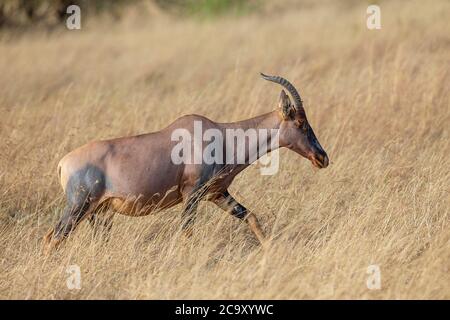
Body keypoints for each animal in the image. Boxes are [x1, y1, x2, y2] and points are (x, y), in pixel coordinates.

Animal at [43, 73, 326, 252]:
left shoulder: (217, 194)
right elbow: (187, 233)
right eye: (301, 122)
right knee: (53, 238)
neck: (219, 135)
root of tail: (62, 164)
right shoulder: (192, 194)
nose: (322, 157)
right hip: (78, 207)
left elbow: (252, 217)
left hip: (99, 213)